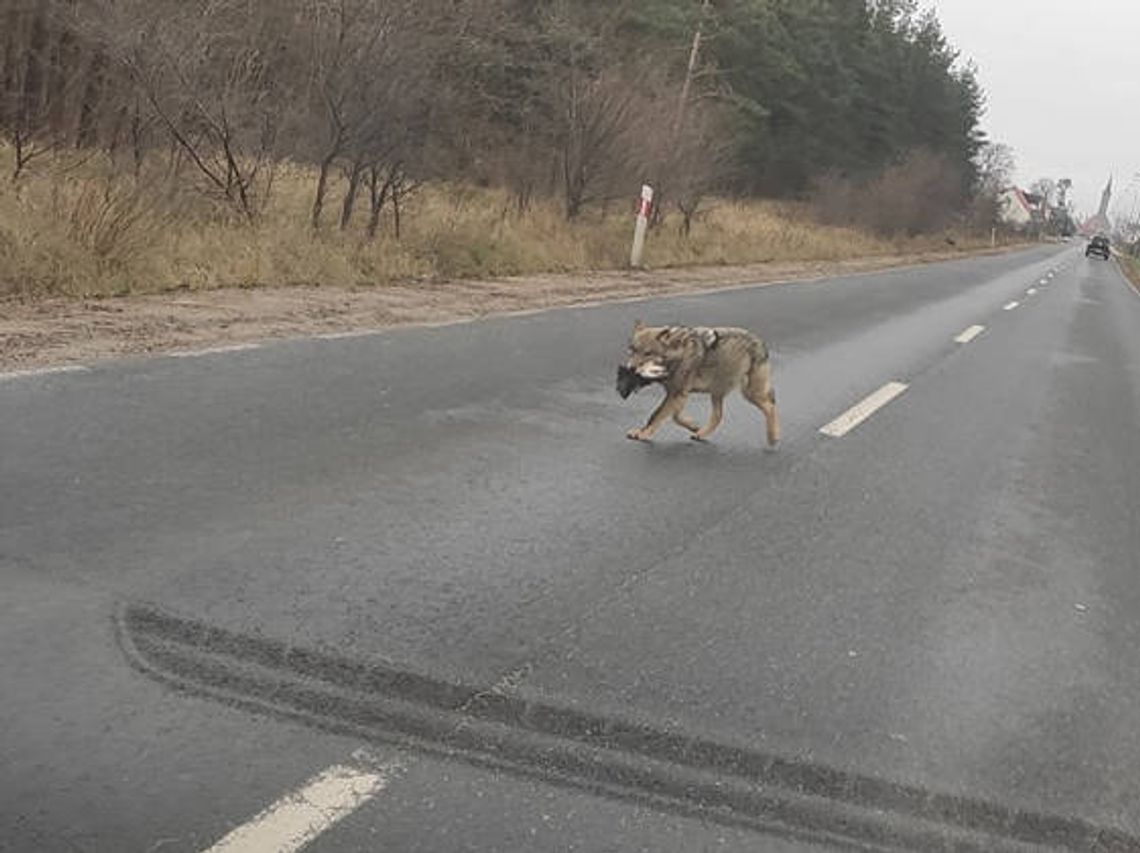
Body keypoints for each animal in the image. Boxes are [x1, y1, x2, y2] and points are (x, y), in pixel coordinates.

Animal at [620, 319, 779, 447]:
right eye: (632, 350)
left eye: (647, 353)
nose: (631, 369)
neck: (677, 352)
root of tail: (761, 341)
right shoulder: (678, 394)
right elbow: (675, 416)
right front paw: (694, 426)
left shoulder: (677, 394)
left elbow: (656, 415)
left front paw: (643, 434)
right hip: (717, 392)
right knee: (718, 416)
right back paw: (701, 434)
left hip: (750, 394)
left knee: (771, 405)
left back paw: (773, 437)